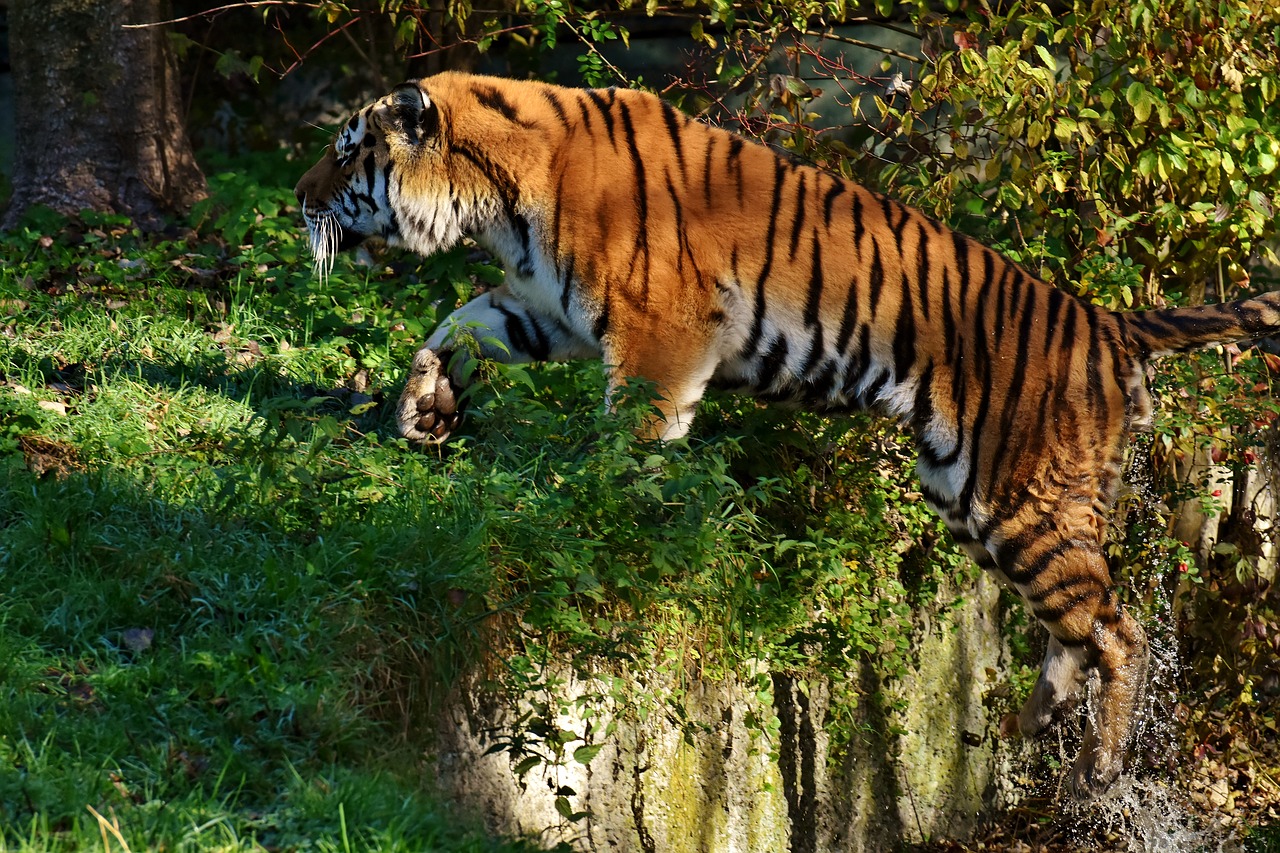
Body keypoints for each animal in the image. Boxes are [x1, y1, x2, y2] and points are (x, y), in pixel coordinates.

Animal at [294, 69, 1280, 794]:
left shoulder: (660, 331)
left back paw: (1097, 773)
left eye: (347, 156)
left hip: (1017, 498)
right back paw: (1030, 724)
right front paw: (422, 409)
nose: (295, 198)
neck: (493, 198)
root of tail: (1108, 321)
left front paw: (596, 523)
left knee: (1118, 631)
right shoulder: (541, 307)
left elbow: (627, 440)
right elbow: (453, 327)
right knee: (1077, 622)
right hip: (971, 498)